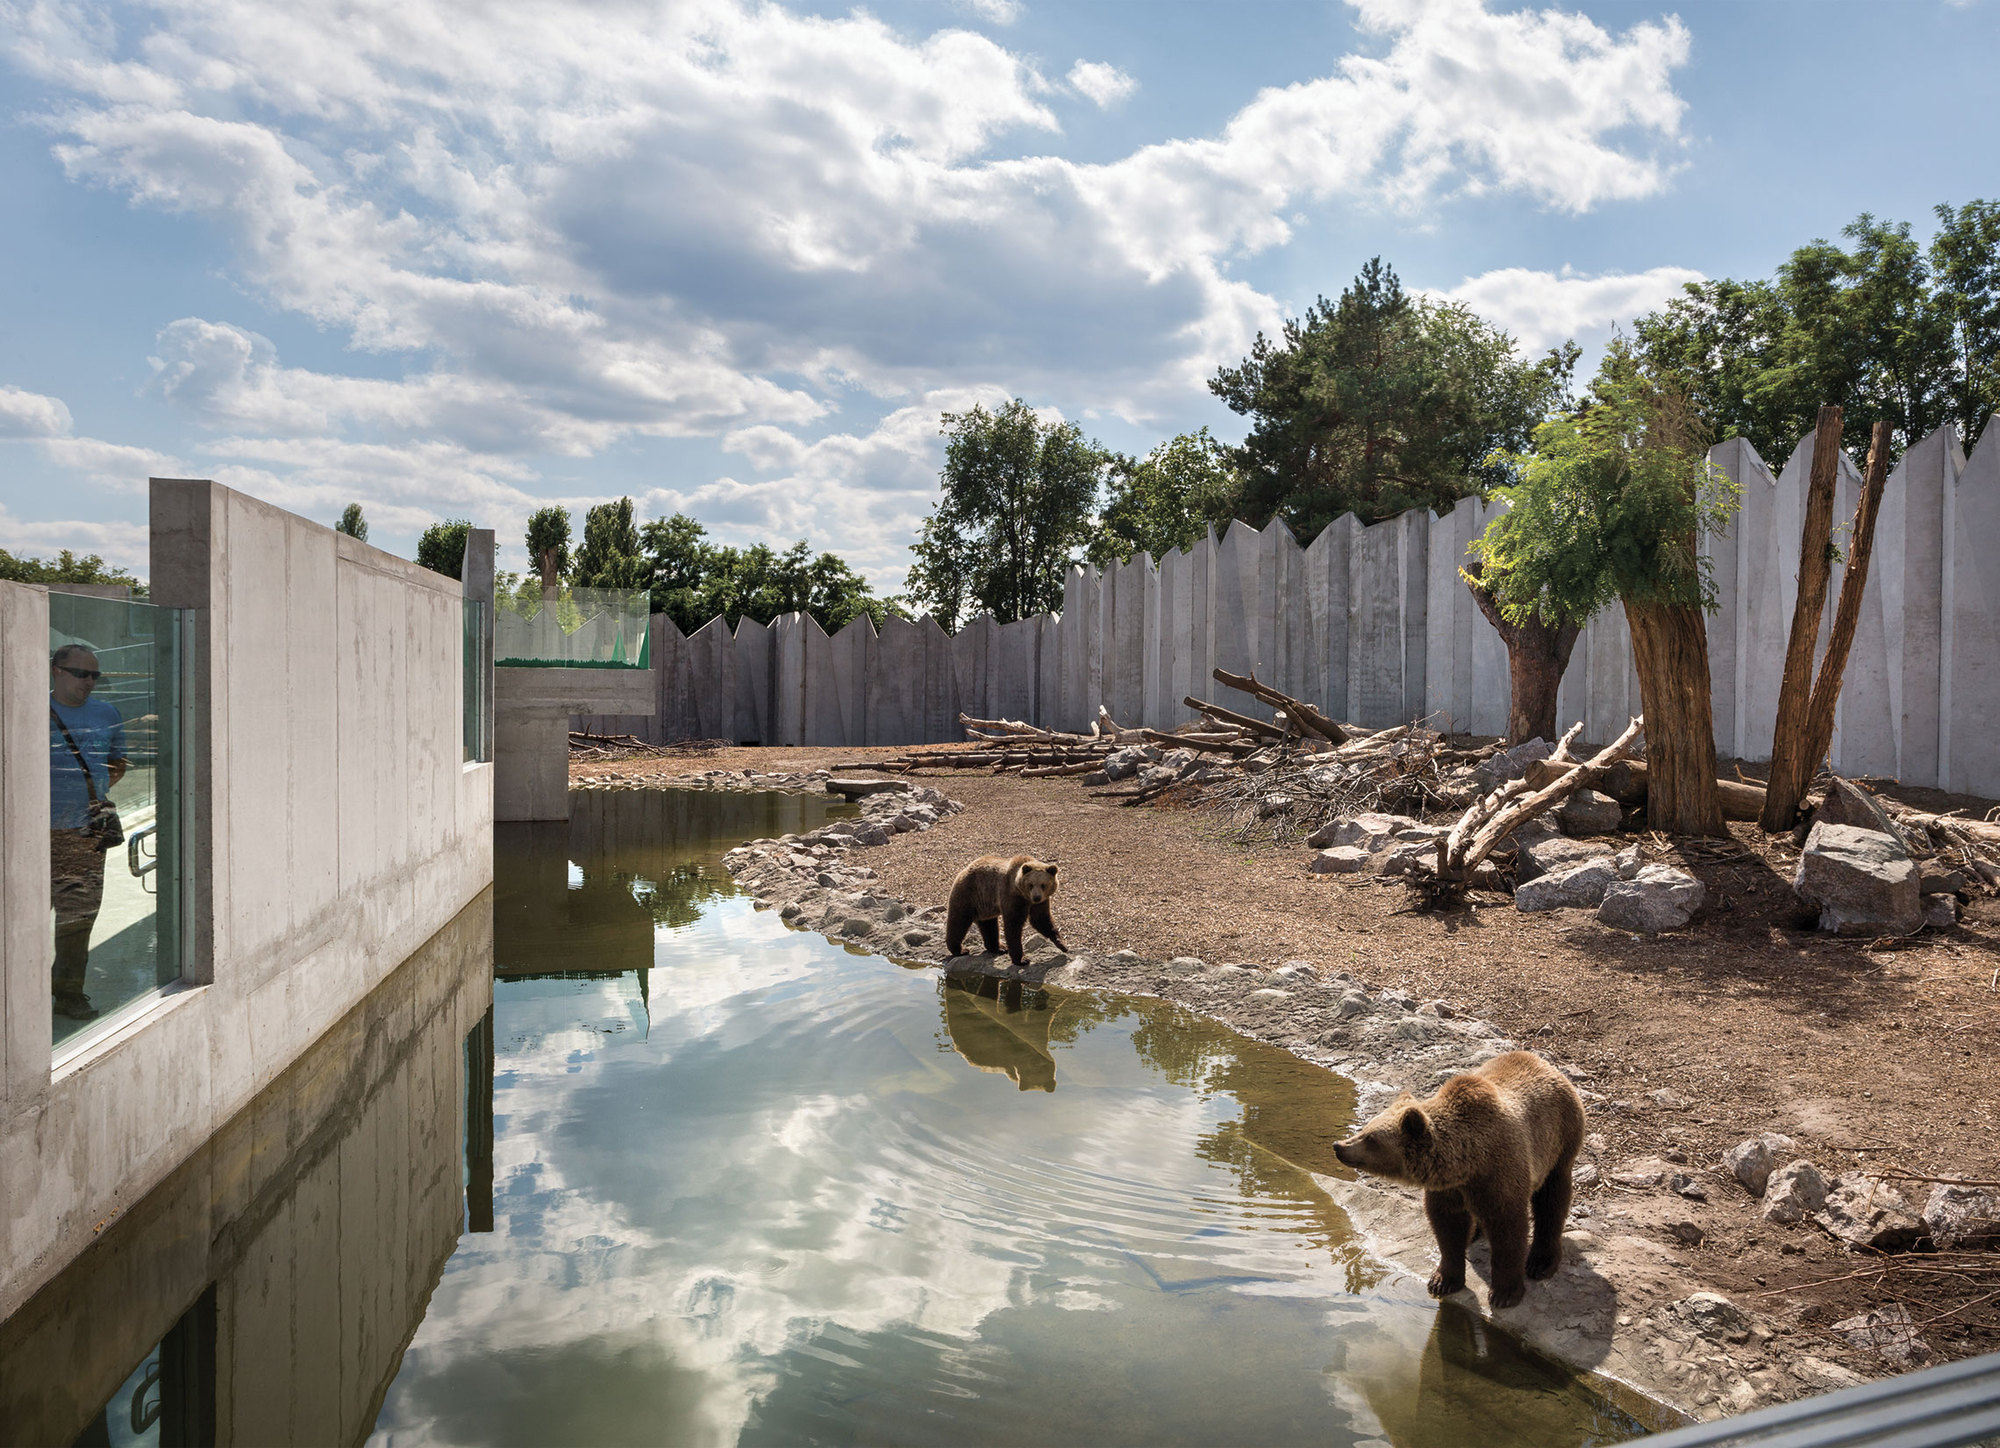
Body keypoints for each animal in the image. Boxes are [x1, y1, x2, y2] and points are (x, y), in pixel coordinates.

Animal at [1336, 1056, 1584, 1312]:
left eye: (1371, 1138)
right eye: (1366, 1128)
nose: (1339, 1146)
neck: (1468, 1163)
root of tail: (1543, 1062)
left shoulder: (1500, 1174)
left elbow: (1508, 1230)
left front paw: (1504, 1293)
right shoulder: (1449, 1189)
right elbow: (1447, 1227)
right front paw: (1443, 1280)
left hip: (1558, 1140)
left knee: (1552, 1198)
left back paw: (1541, 1262)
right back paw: (1475, 1233)